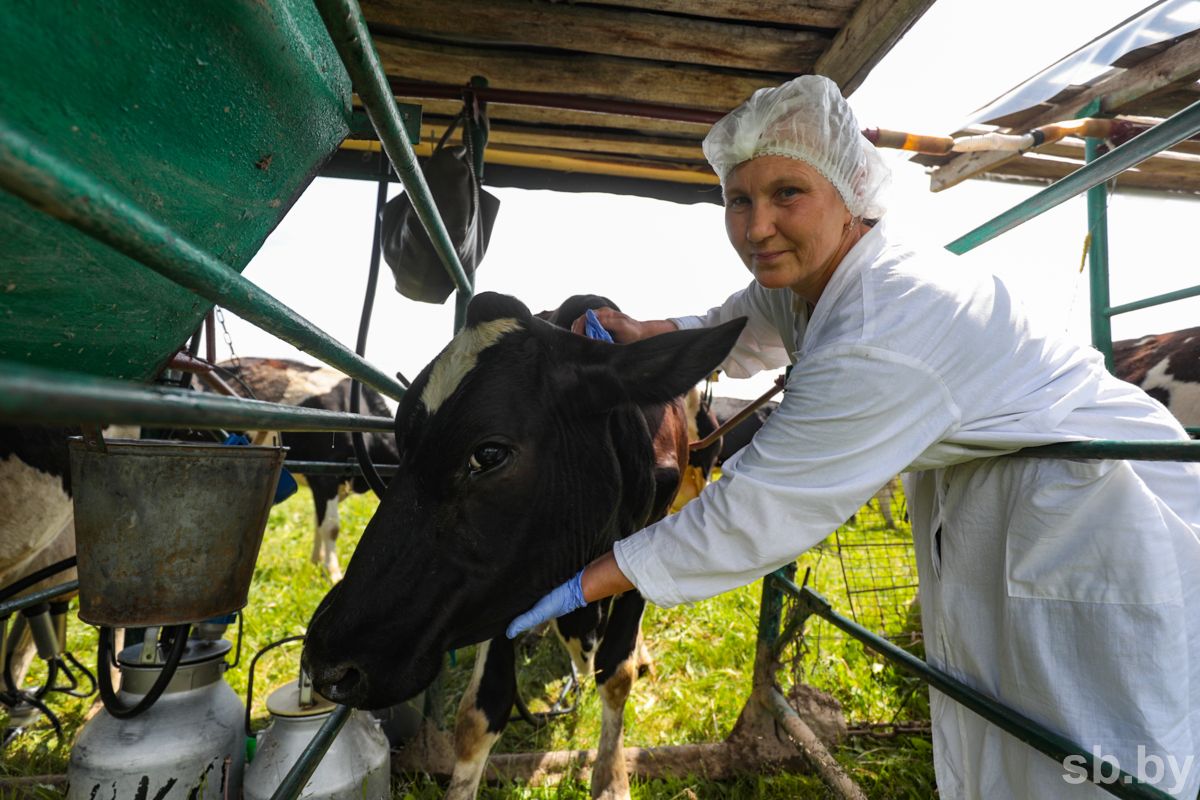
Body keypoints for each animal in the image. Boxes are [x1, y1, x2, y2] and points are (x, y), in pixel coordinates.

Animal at [304, 296, 744, 800]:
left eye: (489, 454)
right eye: (401, 441)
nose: (326, 665)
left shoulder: (642, 545)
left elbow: (616, 673)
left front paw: (611, 777)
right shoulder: (505, 586)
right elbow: (482, 711)